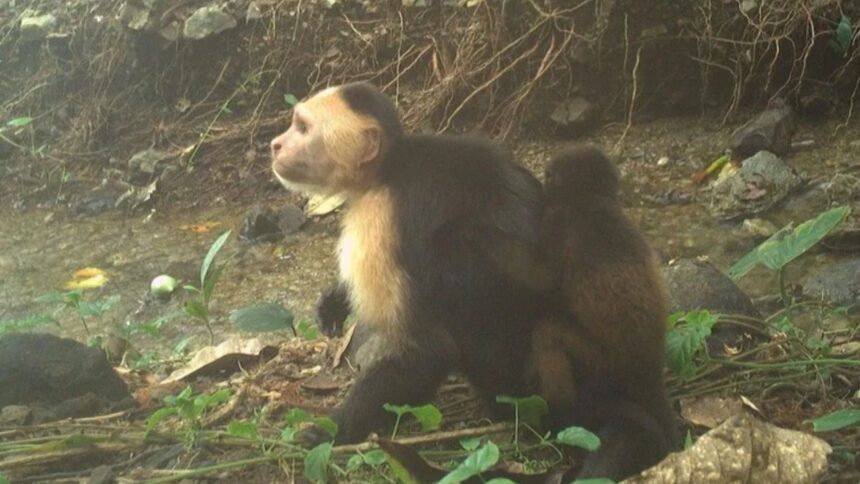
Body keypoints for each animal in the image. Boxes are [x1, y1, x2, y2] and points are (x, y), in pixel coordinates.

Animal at [270, 82, 553, 445]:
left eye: (303, 128)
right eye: (295, 123)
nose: (275, 144)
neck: (384, 170)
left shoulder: (376, 222)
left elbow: (428, 351)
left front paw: (333, 431)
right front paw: (335, 301)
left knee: (453, 254)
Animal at [530, 145, 678, 480]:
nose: (543, 179)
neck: (589, 198)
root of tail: (648, 367)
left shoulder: (555, 220)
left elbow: (545, 284)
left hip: (601, 361)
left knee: (547, 336)